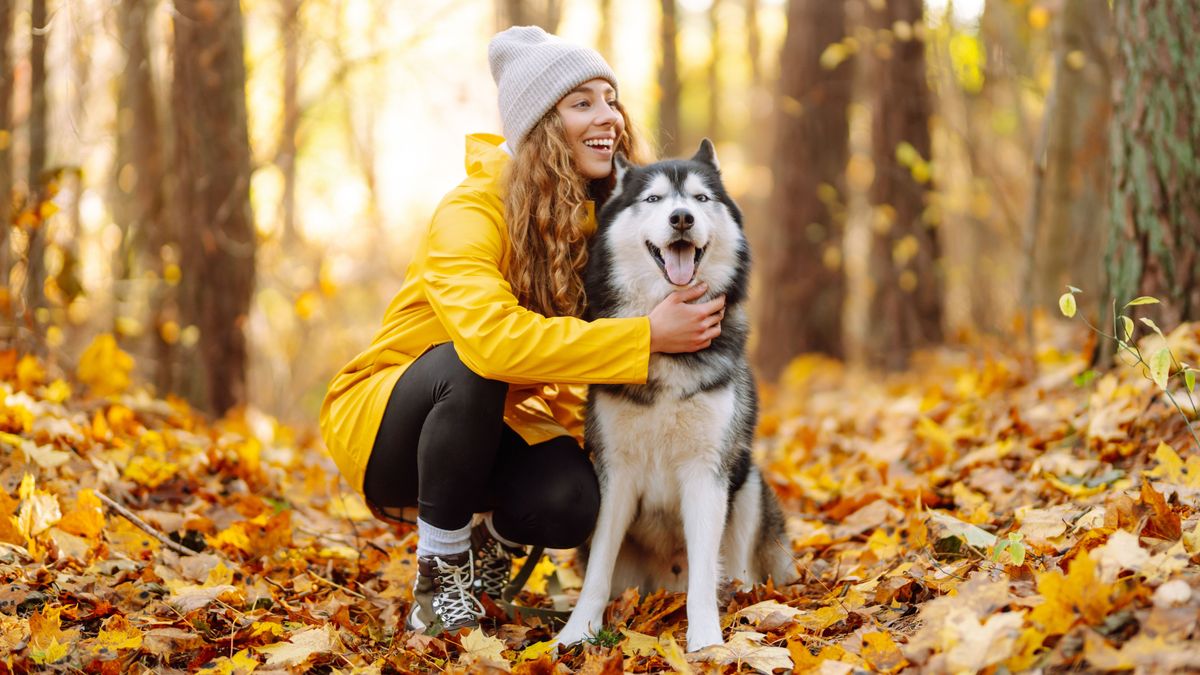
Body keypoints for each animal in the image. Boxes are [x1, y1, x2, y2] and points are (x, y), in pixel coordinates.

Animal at [554, 139, 796, 648]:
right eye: (654, 199)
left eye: (701, 198)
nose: (682, 217)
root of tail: (665, 584)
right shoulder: (615, 472)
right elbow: (598, 569)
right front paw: (576, 633)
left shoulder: (707, 470)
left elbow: (705, 574)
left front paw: (705, 640)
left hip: (746, 479)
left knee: (735, 571)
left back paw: (743, 602)